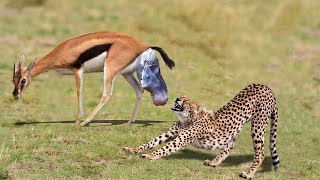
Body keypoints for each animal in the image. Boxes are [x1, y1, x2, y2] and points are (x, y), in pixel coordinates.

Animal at [11, 31, 175, 126]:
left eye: (23, 80)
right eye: (13, 80)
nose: (15, 94)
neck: (63, 50)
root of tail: (143, 45)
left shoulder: (78, 71)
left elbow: (79, 92)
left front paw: (78, 119)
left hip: (109, 71)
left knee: (107, 94)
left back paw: (86, 122)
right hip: (126, 73)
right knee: (139, 90)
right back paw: (129, 121)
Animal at [123, 83, 280, 179]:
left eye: (185, 100)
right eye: (182, 97)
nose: (177, 98)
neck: (188, 118)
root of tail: (266, 87)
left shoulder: (180, 140)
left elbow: (164, 148)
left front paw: (149, 156)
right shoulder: (171, 133)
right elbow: (152, 142)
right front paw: (132, 149)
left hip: (258, 125)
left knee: (260, 153)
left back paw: (249, 174)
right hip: (235, 130)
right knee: (228, 148)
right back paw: (214, 163)